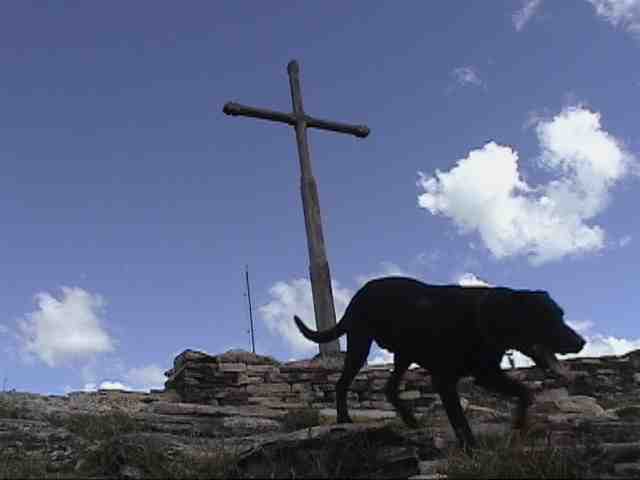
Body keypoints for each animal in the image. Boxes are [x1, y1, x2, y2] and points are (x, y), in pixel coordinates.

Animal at [296, 276, 584, 452]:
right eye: (546, 317)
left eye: (561, 314)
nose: (581, 342)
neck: (486, 317)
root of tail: (359, 294)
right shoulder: (447, 380)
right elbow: (460, 421)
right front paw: (472, 451)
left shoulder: (486, 373)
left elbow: (525, 392)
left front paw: (520, 425)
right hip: (360, 344)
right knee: (342, 383)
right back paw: (344, 418)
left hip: (403, 354)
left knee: (390, 388)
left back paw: (411, 421)